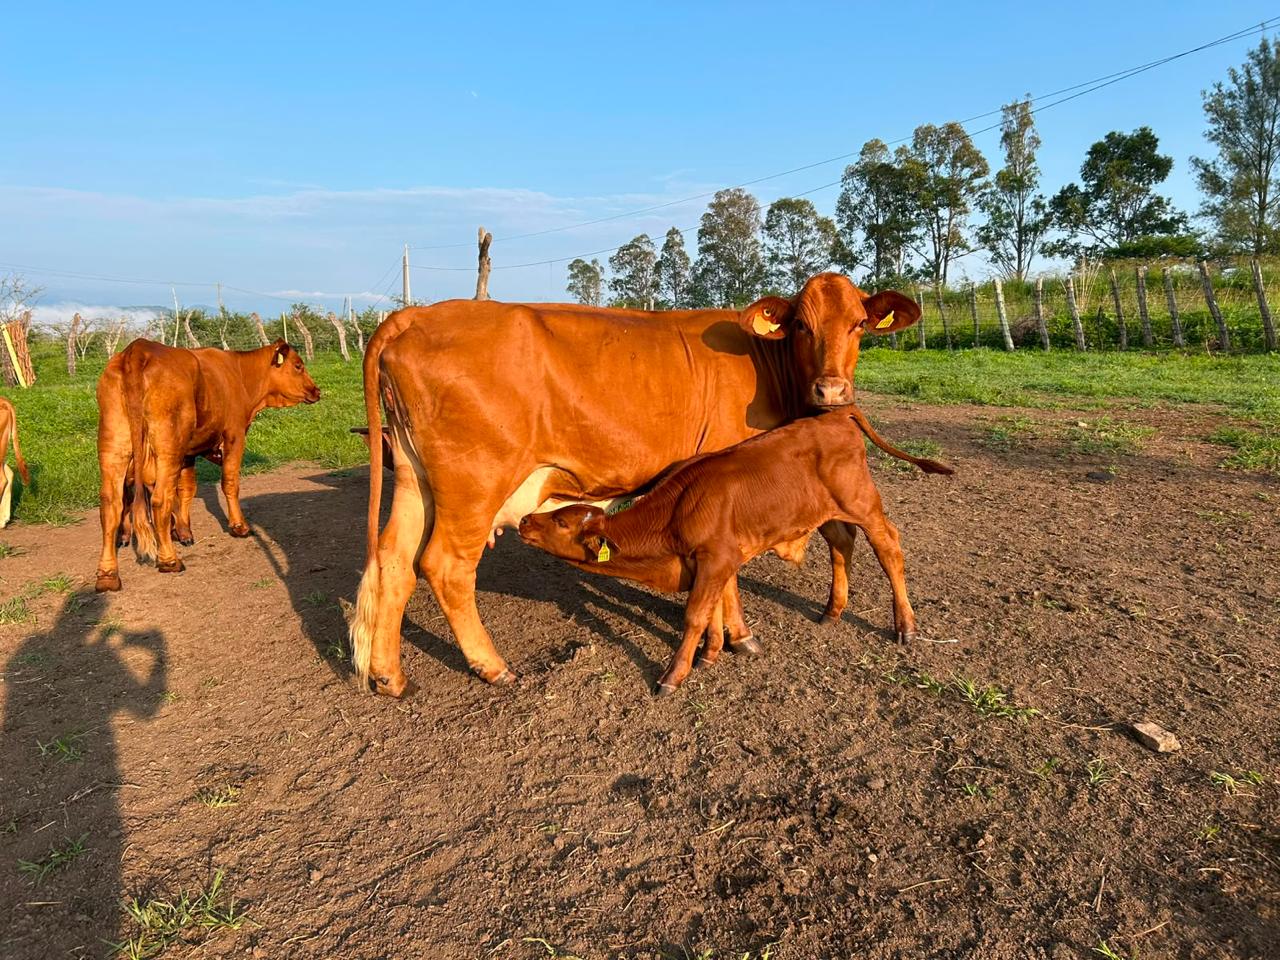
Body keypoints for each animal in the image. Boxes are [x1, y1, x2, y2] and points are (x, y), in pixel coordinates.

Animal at [94, 339, 320, 592]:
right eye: (299, 365)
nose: (317, 390)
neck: (239, 373)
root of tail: (138, 348)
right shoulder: (234, 435)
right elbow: (229, 482)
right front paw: (238, 526)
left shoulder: (187, 453)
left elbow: (186, 489)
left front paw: (182, 532)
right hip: (167, 444)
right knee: (159, 499)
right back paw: (169, 560)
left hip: (114, 444)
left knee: (111, 505)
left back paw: (108, 575)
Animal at [518, 406, 948, 694]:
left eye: (561, 522)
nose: (523, 521)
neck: (678, 508)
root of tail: (837, 415)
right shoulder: (715, 558)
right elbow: (717, 606)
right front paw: (713, 651)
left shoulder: (716, 557)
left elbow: (695, 613)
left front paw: (674, 675)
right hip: (824, 512)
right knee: (841, 544)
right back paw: (832, 611)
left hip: (864, 504)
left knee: (889, 548)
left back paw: (905, 626)